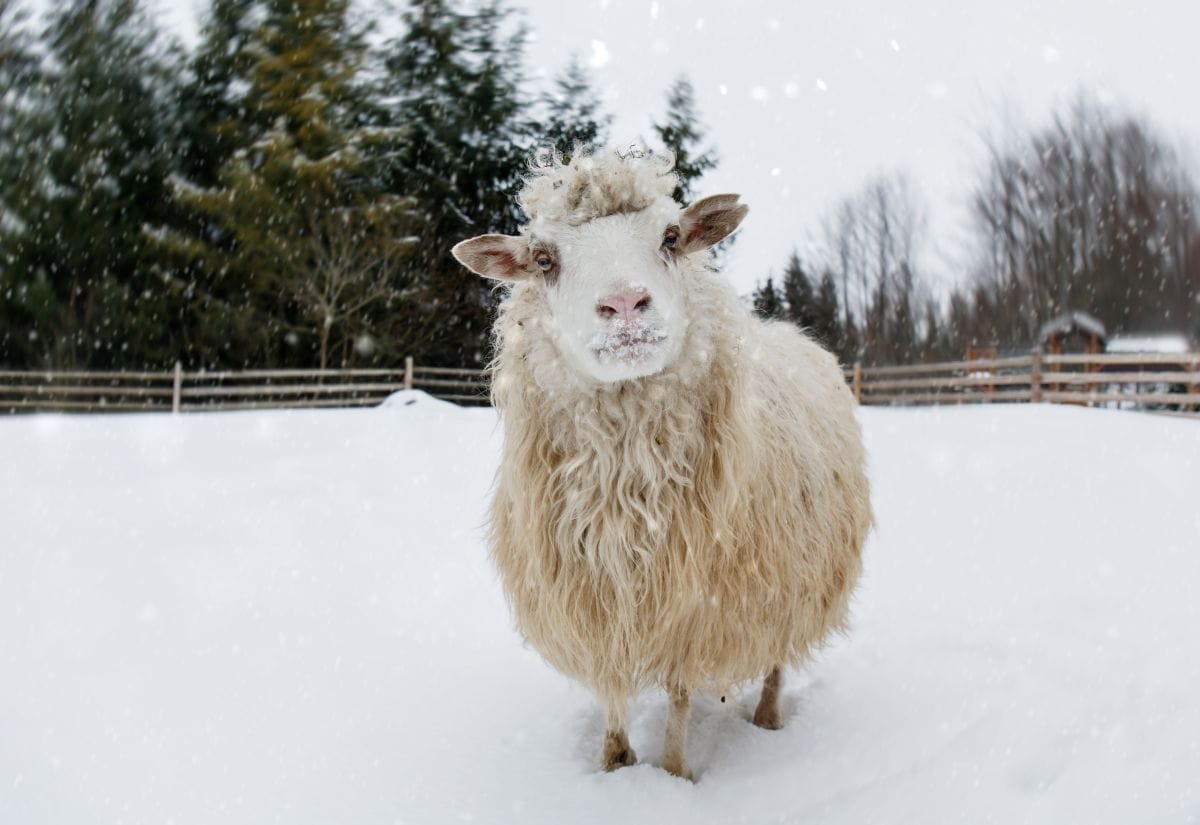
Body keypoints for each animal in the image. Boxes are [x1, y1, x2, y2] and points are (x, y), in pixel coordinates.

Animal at [451, 146, 873, 781]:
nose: (625, 304)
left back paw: (768, 717)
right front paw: (614, 764)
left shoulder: (694, 608)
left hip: (794, 576)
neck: (625, 489)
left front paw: (672, 776)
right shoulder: (597, 600)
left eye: (671, 237)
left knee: (777, 656)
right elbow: (610, 689)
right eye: (544, 259)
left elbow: (677, 697)